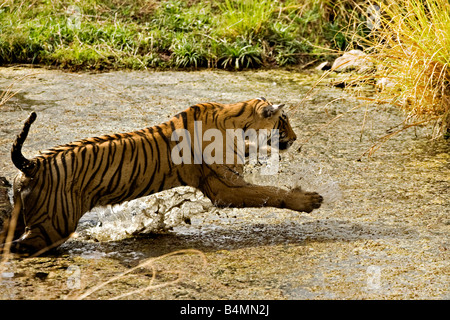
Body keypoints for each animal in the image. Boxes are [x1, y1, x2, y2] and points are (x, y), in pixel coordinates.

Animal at [1, 97, 322, 255]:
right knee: (18, 246)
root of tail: (32, 164)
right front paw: (309, 200)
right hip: (54, 225)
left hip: (23, 216)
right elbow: (269, 193)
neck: (236, 120)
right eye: (284, 122)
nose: (294, 138)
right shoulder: (225, 188)